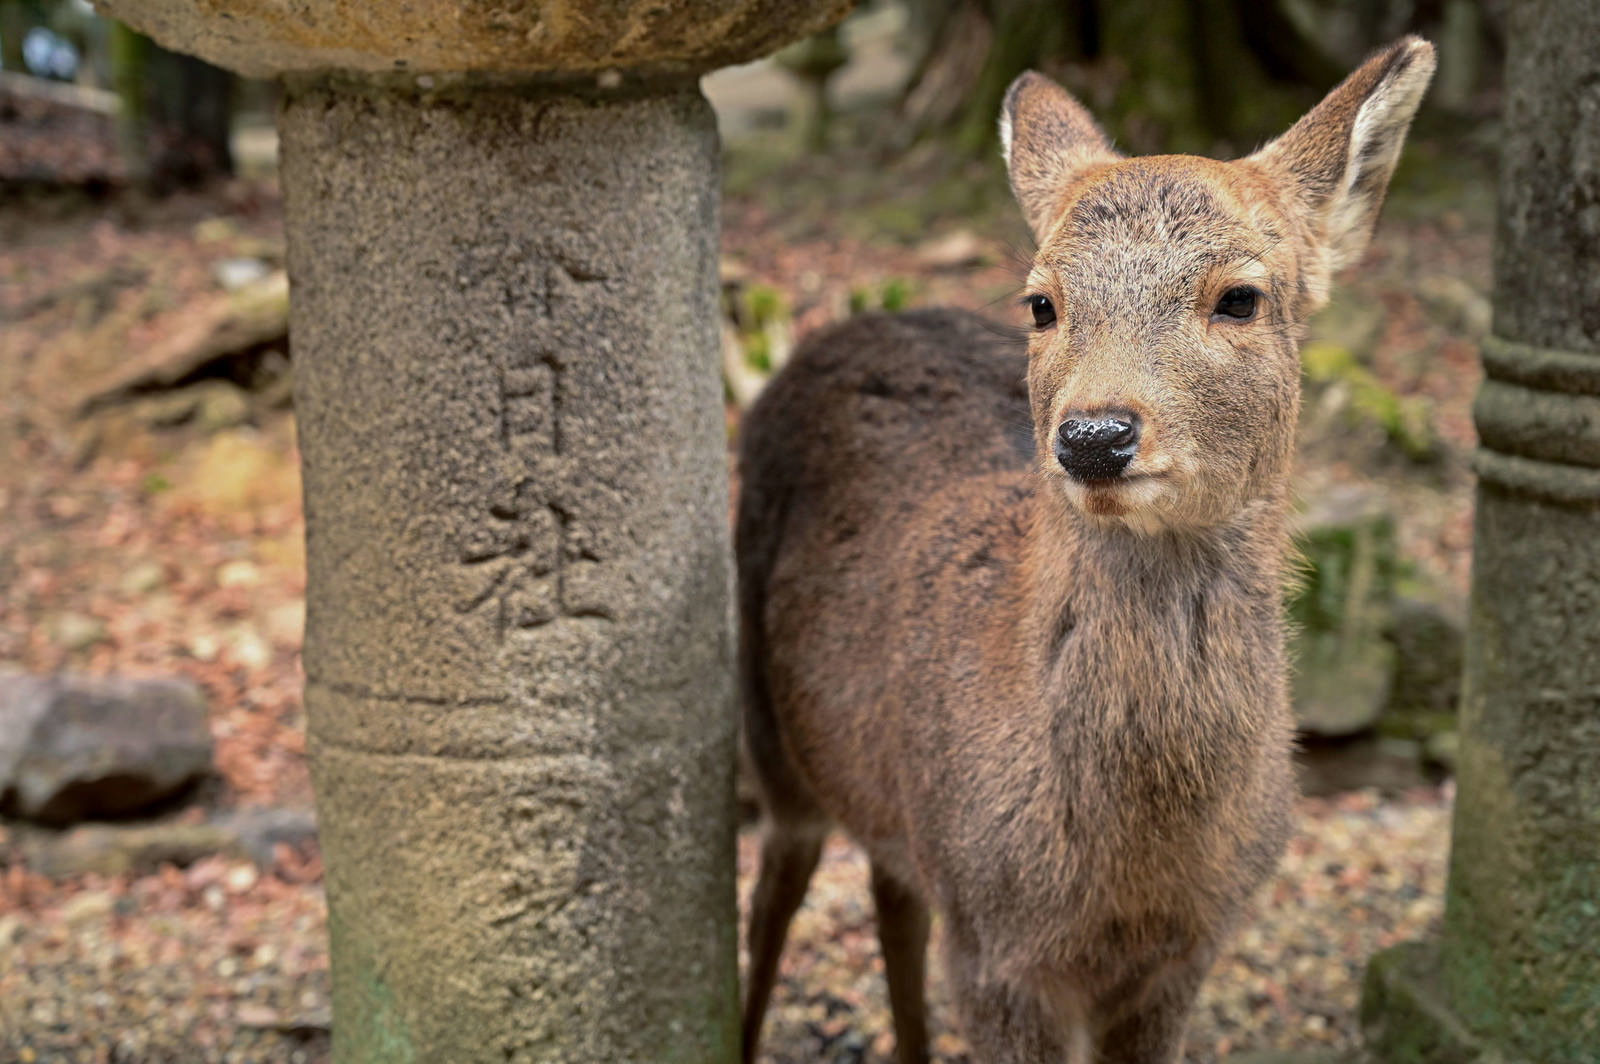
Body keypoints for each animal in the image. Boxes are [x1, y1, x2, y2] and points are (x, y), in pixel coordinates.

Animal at [735, 36, 1435, 1064]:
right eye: (1041, 303)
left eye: (1240, 297)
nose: (1096, 435)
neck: (1129, 874)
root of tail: (852, 322)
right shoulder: (993, 947)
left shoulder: (1186, 952)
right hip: (765, 727)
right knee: (776, 888)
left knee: (890, 896)